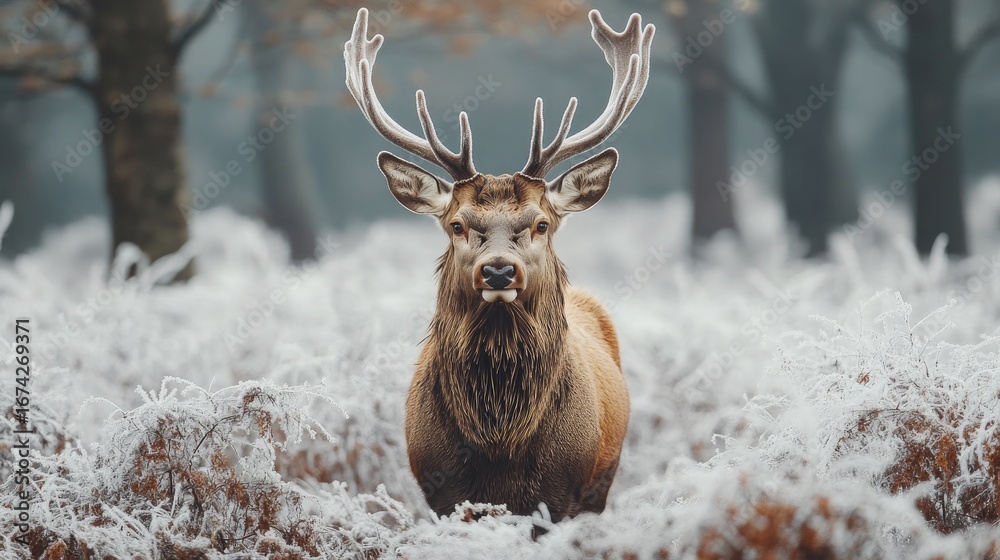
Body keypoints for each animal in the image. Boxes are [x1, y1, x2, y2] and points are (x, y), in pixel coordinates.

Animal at [344, 7, 653, 524]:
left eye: (542, 223)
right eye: (457, 224)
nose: (499, 271)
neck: (499, 442)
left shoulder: (561, 496)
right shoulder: (442, 496)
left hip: (601, 487)